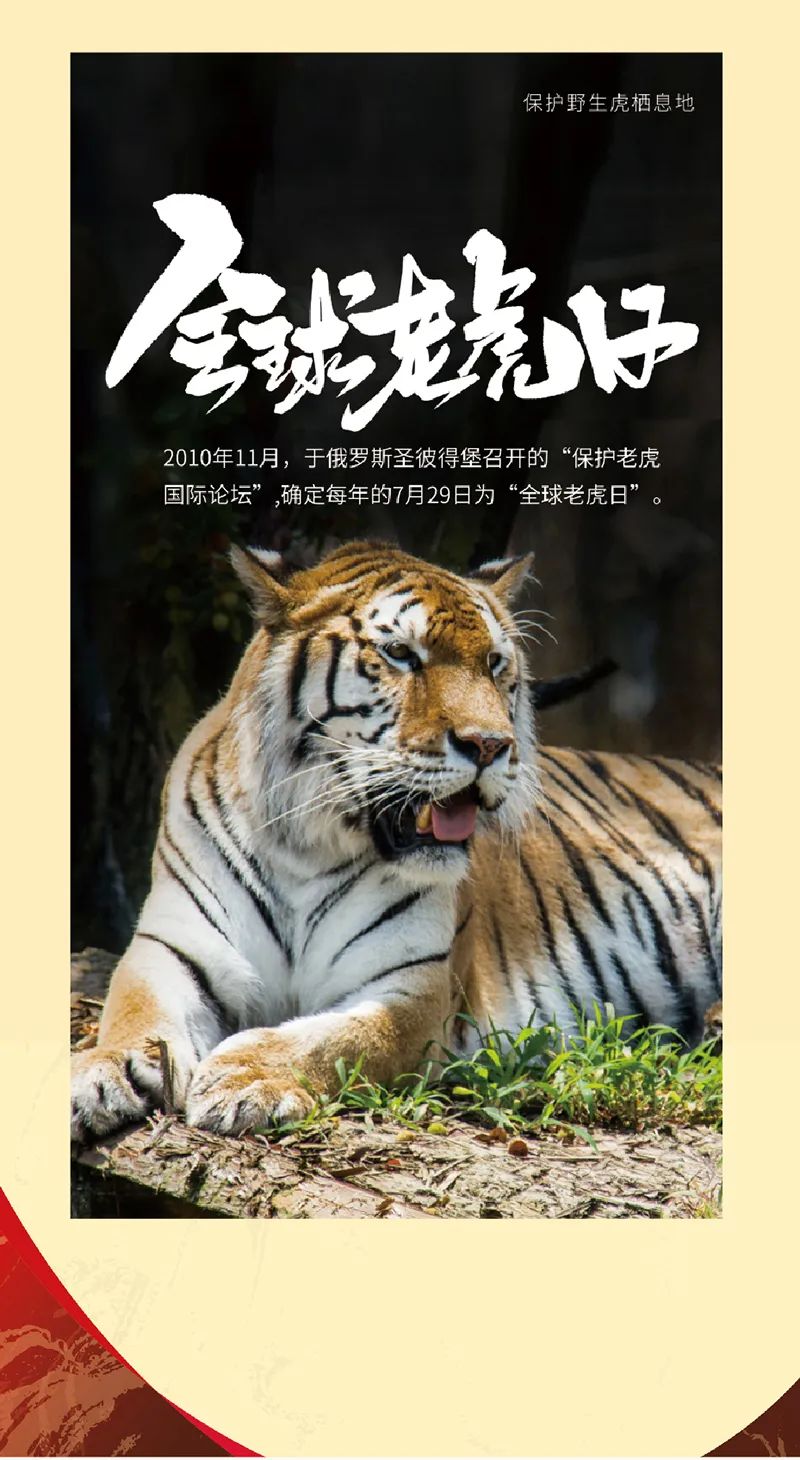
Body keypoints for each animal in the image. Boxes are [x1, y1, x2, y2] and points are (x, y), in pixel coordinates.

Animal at [70, 540, 722, 1142]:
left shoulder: (415, 988)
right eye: (402, 654)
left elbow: (336, 1039)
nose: (491, 744)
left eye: (494, 663)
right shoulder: (173, 947)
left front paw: (246, 1079)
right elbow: (133, 1012)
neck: (306, 849)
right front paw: (97, 1075)